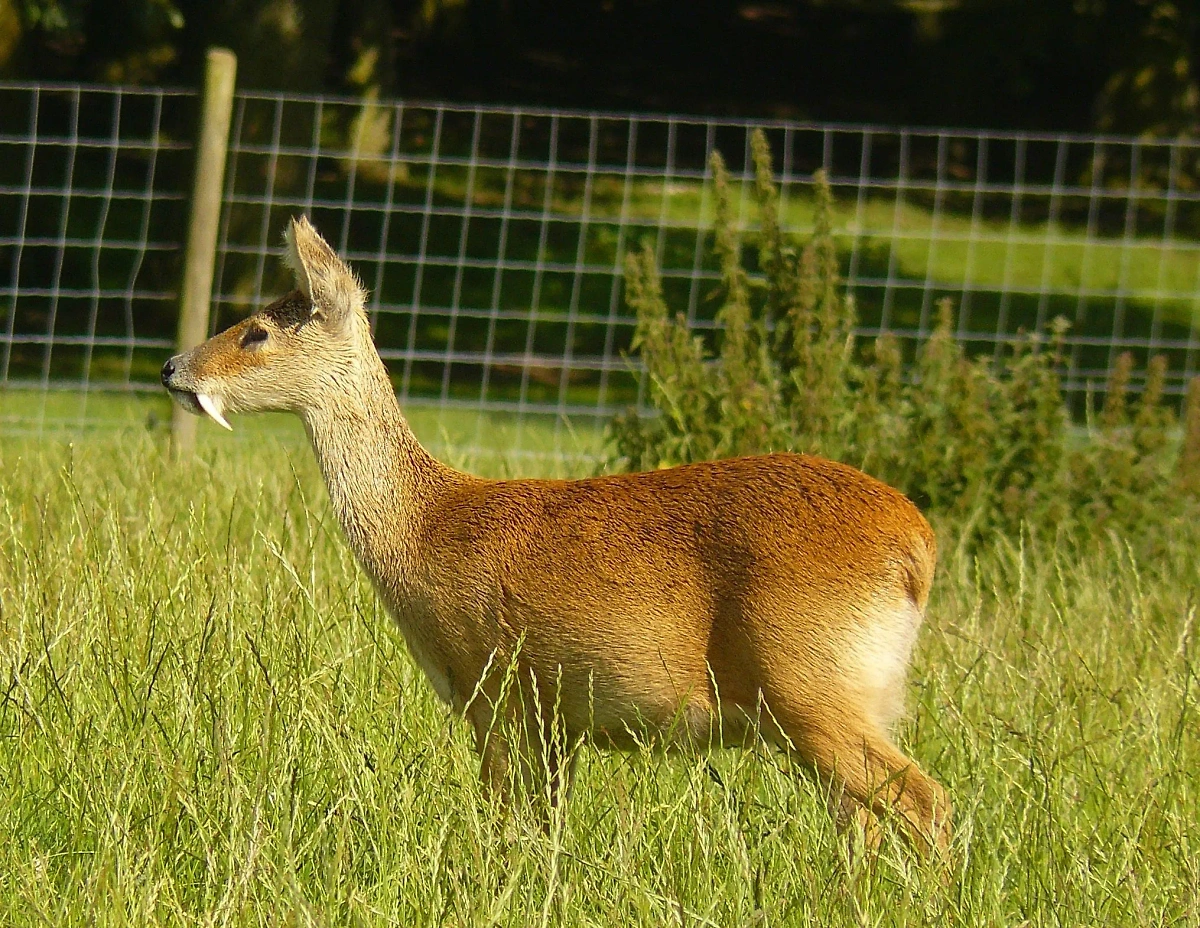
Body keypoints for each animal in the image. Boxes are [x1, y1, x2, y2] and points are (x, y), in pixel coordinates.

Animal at [159, 214, 950, 854]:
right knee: (864, 818)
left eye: (257, 331)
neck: (423, 526)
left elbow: (501, 820)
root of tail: (917, 545)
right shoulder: (554, 719)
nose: (172, 367)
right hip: (844, 697)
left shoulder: (494, 688)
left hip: (807, 681)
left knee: (926, 802)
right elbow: (548, 825)